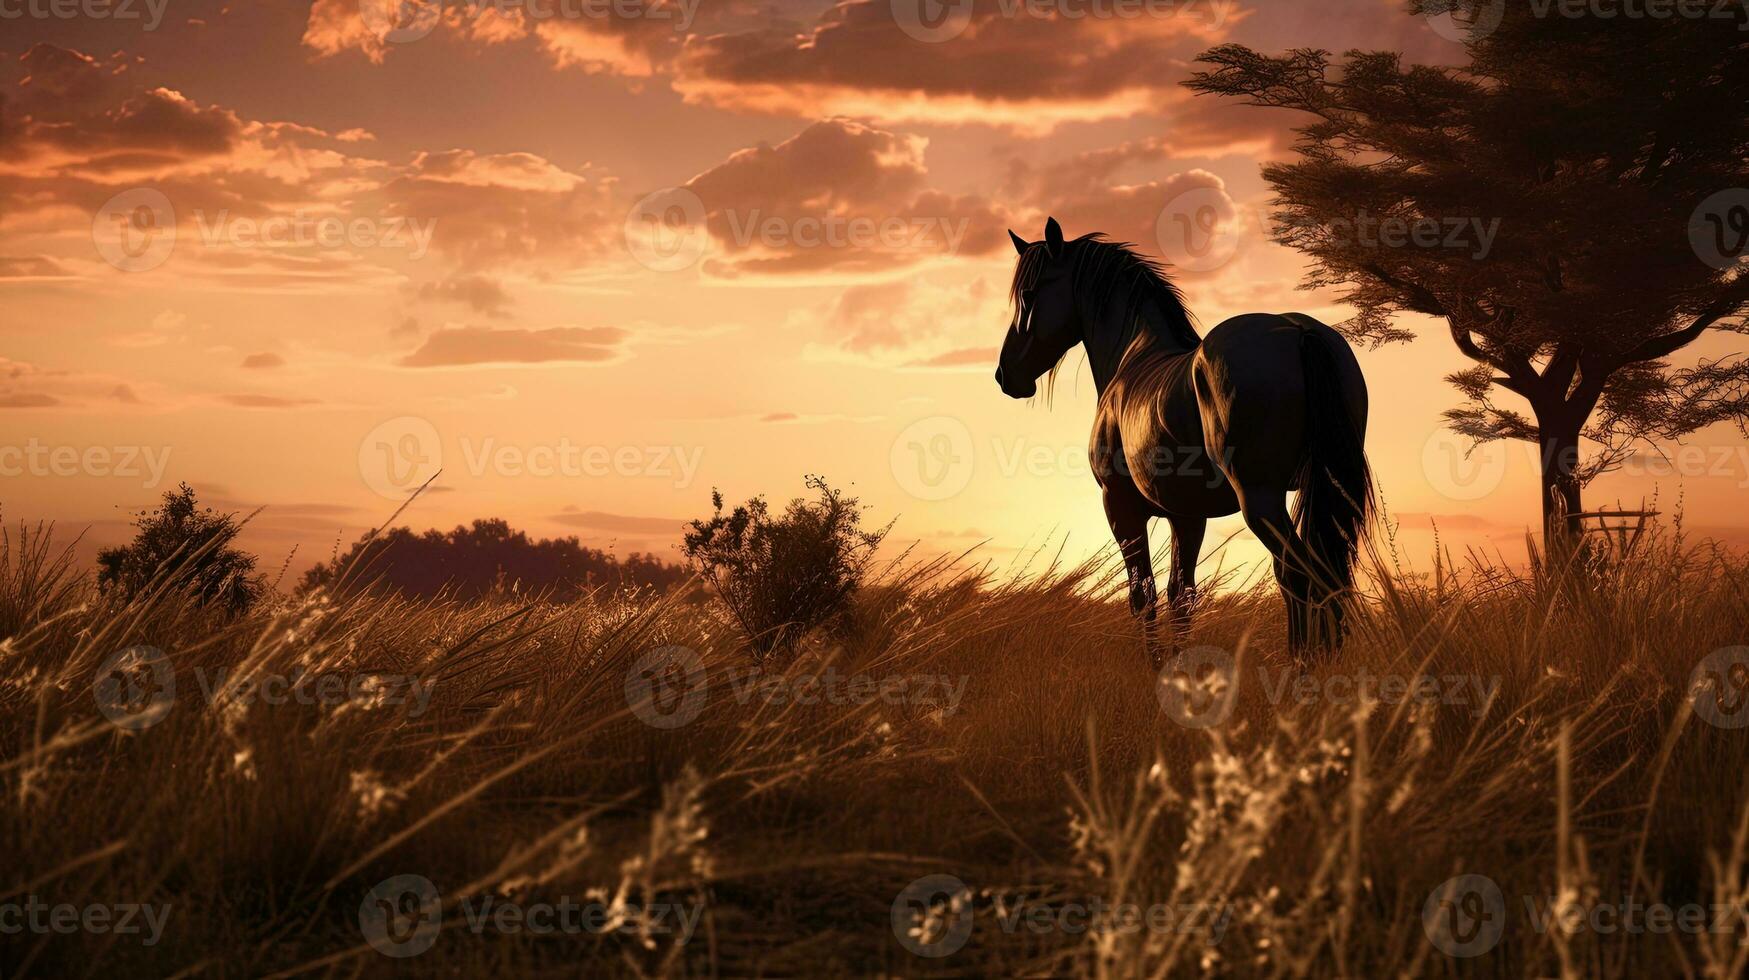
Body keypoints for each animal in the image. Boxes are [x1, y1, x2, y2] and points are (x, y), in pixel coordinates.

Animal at [993, 218, 1371, 665]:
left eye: (1029, 295)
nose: (1005, 374)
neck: (1132, 356)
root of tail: (1298, 331)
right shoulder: (1187, 516)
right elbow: (1181, 596)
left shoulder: (1120, 506)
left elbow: (1143, 595)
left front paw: (1155, 667)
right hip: (1327, 488)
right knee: (1328, 572)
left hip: (1261, 499)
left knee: (1296, 574)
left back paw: (1300, 666)